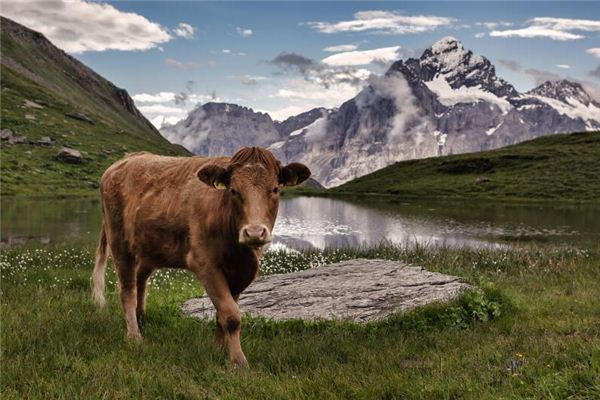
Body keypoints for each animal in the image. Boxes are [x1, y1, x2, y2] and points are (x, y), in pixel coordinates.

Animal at [91, 146, 312, 366]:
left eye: (274, 189)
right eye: (234, 191)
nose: (255, 232)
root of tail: (124, 161)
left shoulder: (239, 274)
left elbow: (222, 314)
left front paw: (218, 349)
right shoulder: (205, 264)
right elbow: (231, 315)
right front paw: (238, 361)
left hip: (148, 249)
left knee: (140, 281)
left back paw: (141, 319)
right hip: (119, 242)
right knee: (127, 290)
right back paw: (134, 336)